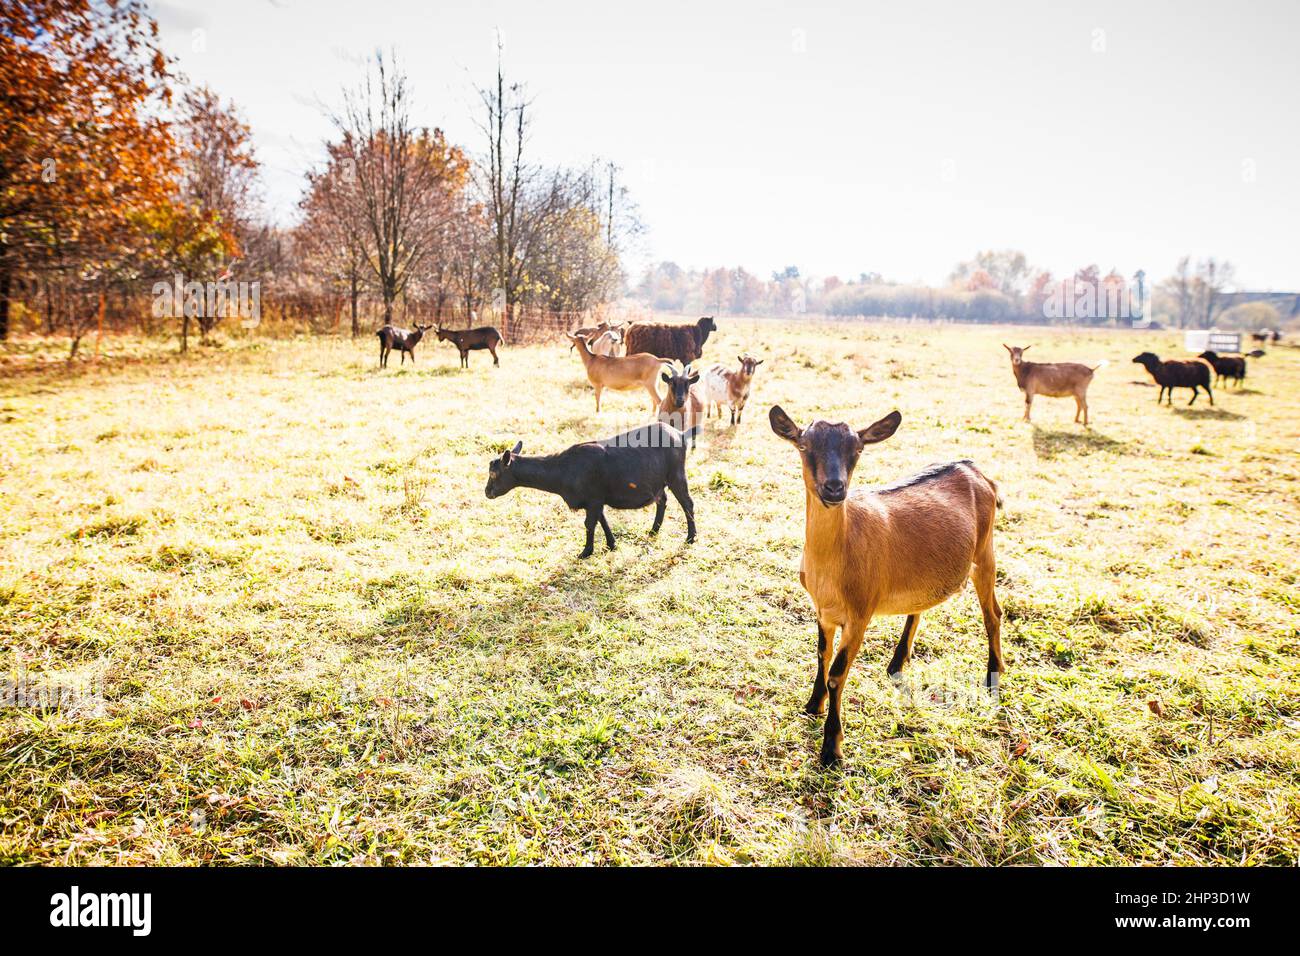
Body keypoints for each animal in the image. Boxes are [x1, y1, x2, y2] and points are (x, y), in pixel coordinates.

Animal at [483, 421, 696, 556]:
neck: (562, 469)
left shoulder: (593, 498)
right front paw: (611, 544)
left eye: (494, 474)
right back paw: (653, 531)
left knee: (687, 503)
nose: (487, 492)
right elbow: (602, 520)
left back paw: (691, 538)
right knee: (662, 500)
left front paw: (585, 552)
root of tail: (681, 434)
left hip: (676, 474)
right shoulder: (594, 500)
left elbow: (589, 524)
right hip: (658, 480)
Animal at [769, 408, 1003, 764]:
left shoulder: (859, 614)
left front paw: (832, 748)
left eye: (858, 449)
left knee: (993, 614)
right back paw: (895, 665)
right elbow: (822, 656)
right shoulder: (822, 611)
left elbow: (837, 673)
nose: (834, 488)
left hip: (985, 553)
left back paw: (993, 675)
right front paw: (812, 705)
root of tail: (974, 469)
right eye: (804, 446)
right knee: (920, 608)